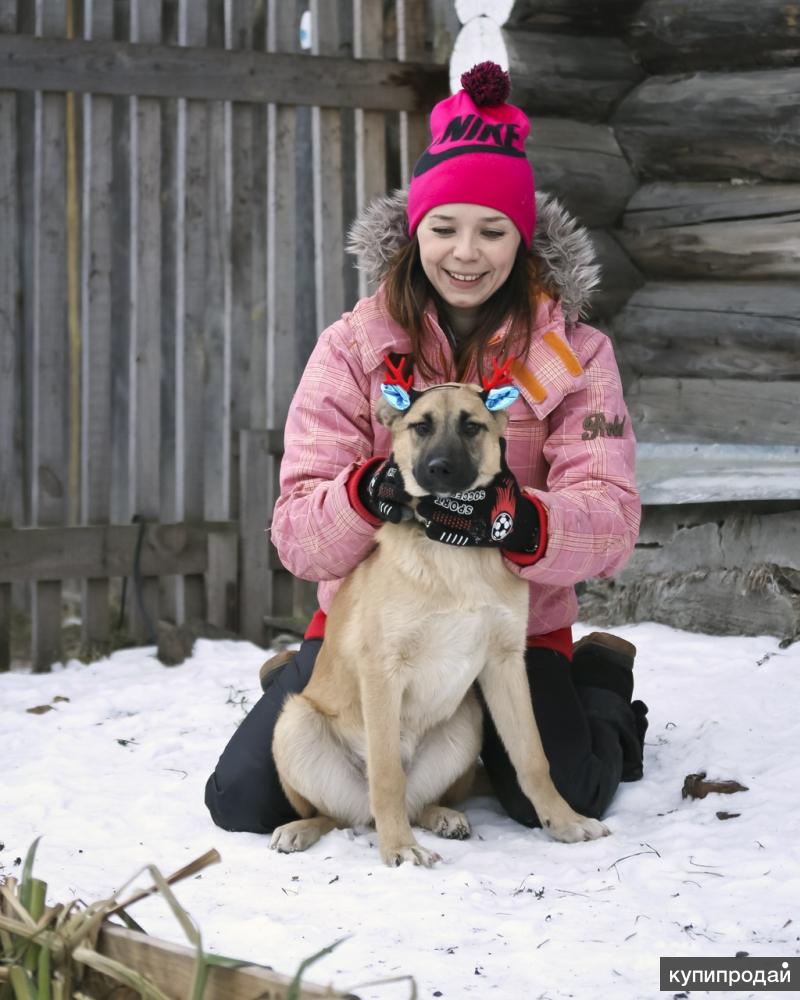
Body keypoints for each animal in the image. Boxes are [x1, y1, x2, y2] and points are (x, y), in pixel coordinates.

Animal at [272, 382, 608, 868]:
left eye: (471, 426)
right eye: (420, 426)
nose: (440, 468)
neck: (454, 544)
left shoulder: (506, 663)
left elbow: (533, 758)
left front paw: (563, 822)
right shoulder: (382, 670)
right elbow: (387, 775)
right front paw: (399, 847)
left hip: (468, 717)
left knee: (415, 802)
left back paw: (443, 817)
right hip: (295, 721)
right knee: (341, 812)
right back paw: (304, 829)